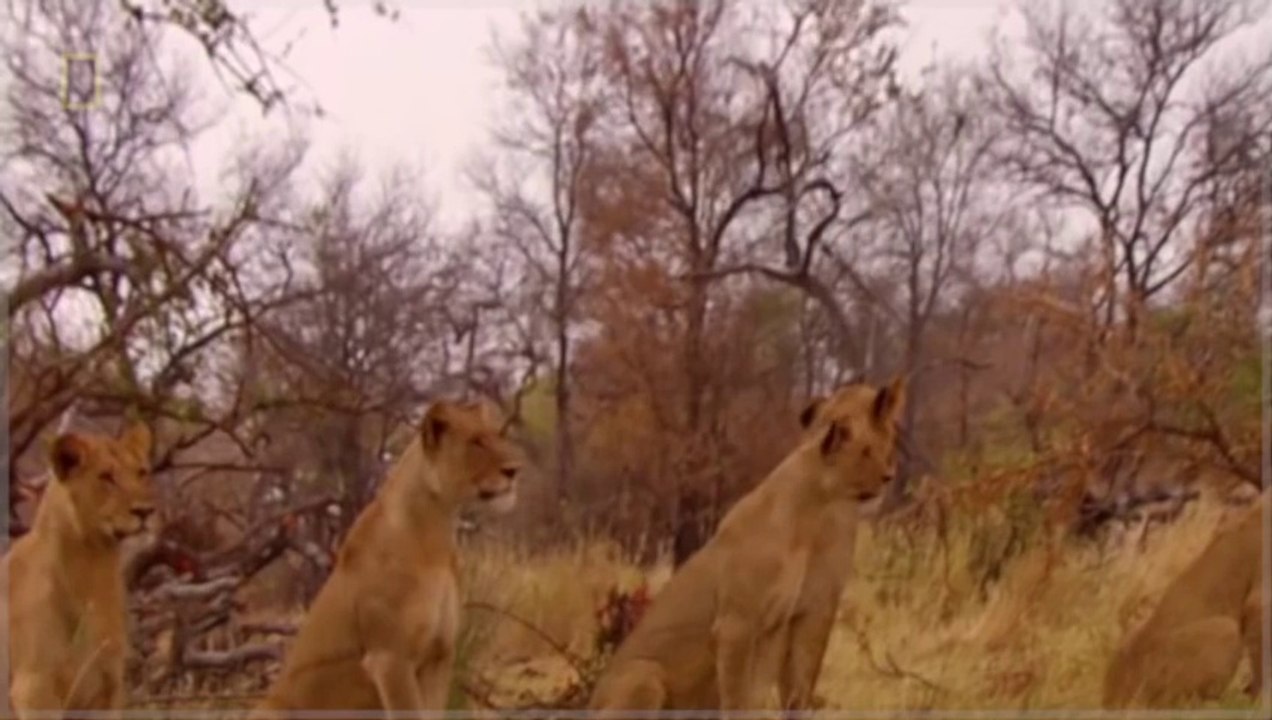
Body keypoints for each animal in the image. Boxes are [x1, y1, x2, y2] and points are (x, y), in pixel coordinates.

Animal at [249, 399, 525, 717]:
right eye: (476, 442)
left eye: (497, 436)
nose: (514, 470)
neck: (436, 535)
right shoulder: (390, 659)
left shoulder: (439, 656)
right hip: (270, 708)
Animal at [587, 376, 907, 712]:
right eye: (865, 451)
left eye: (883, 444)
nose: (889, 476)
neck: (814, 511)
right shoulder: (736, 625)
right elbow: (736, 698)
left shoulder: (799, 619)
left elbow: (793, 692)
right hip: (644, 674)